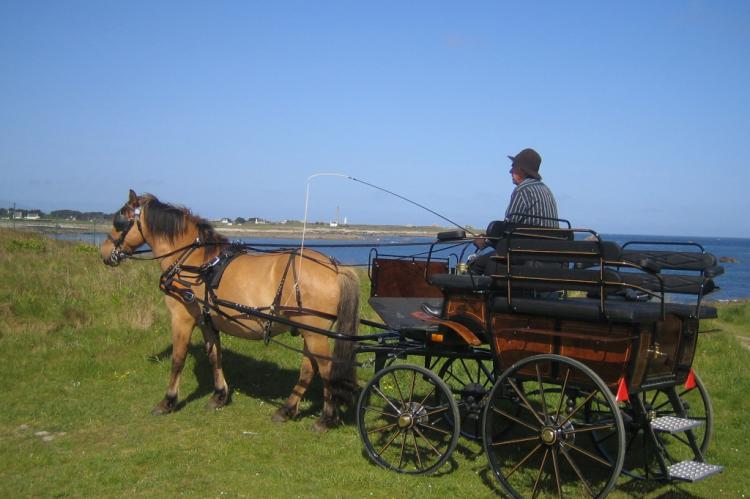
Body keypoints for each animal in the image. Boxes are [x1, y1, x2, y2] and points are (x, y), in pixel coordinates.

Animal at [100, 189, 362, 432]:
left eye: (120, 220)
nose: (103, 252)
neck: (193, 262)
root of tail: (335, 266)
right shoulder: (207, 320)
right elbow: (214, 355)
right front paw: (219, 395)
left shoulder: (182, 318)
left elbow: (178, 359)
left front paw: (168, 401)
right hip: (310, 331)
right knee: (309, 369)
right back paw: (287, 410)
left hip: (315, 332)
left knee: (327, 371)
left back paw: (327, 418)